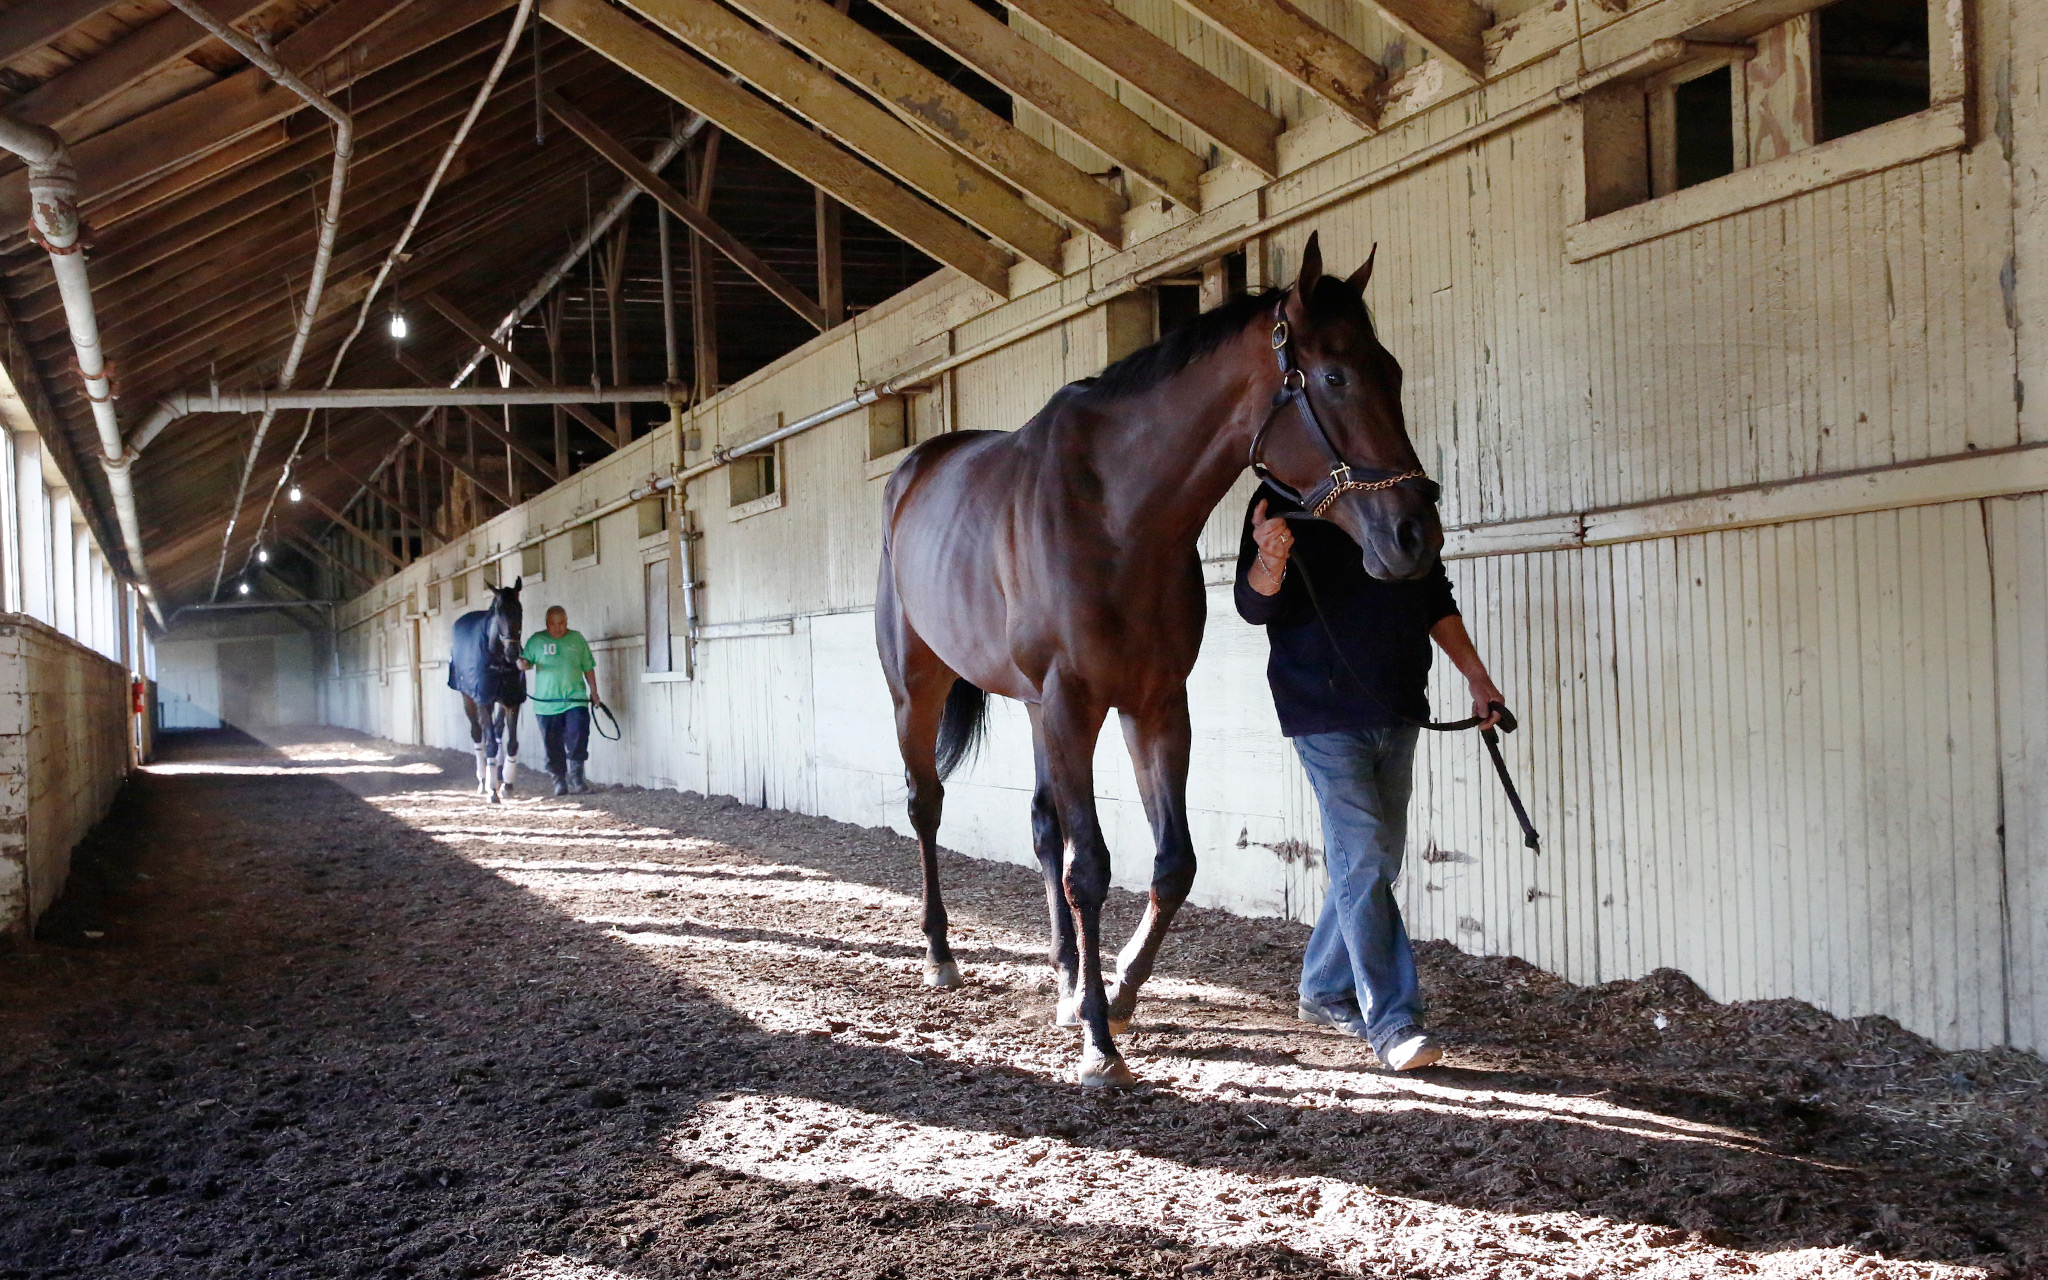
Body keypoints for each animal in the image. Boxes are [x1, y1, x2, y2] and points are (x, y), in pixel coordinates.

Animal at [450, 577, 528, 798]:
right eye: (498, 611)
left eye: (520, 609)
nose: (513, 653)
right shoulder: (483, 700)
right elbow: (489, 742)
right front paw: (492, 789)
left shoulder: (511, 701)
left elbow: (511, 743)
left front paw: (507, 784)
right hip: (469, 699)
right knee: (478, 734)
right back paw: (483, 779)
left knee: (497, 730)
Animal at [876, 234, 1441, 1081]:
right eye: (1336, 376)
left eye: (1395, 372)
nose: (1415, 535)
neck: (1116, 513)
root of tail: (914, 474)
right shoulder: (1074, 703)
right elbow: (1089, 867)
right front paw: (1097, 1043)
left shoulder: (1155, 705)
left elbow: (1172, 864)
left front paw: (1115, 993)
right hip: (921, 688)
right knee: (927, 806)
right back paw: (941, 956)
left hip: (1037, 711)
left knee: (1041, 826)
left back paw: (1064, 976)